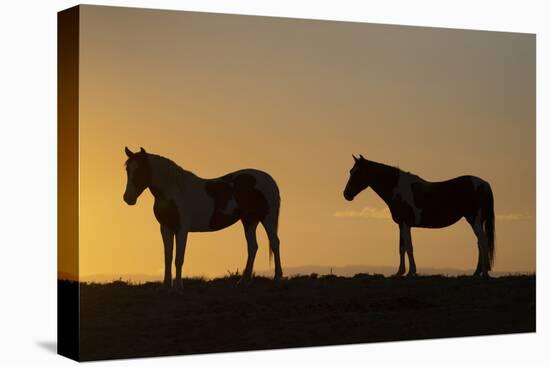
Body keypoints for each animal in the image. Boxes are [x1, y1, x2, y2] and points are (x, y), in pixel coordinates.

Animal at [123, 147, 282, 290]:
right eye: (127, 170)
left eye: (140, 170)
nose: (128, 198)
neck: (174, 190)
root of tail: (269, 179)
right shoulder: (166, 228)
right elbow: (168, 257)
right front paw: (166, 285)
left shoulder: (181, 229)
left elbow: (179, 258)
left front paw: (178, 286)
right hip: (249, 220)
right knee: (253, 247)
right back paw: (243, 282)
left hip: (268, 218)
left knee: (274, 243)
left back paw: (277, 278)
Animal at [344, 154, 496, 278]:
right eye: (351, 171)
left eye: (356, 172)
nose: (346, 194)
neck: (398, 189)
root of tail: (484, 184)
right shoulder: (402, 225)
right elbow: (402, 248)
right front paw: (400, 272)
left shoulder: (405, 223)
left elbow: (409, 247)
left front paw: (411, 272)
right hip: (475, 220)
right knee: (479, 243)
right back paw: (476, 273)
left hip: (474, 219)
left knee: (482, 241)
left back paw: (484, 273)